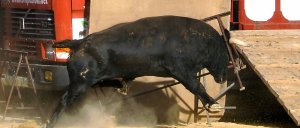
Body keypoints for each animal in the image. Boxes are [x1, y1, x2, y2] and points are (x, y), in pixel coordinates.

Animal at [47, 15, 229, 127]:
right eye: (225, 53)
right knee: (64, 100)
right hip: (80, 83)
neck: (198, 39)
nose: (223, 78)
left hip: (91, 80)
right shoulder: (181, 70)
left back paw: (122, 86)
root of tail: (79, 43)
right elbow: (196, 86)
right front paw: (214, 105)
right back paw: (50, 123)